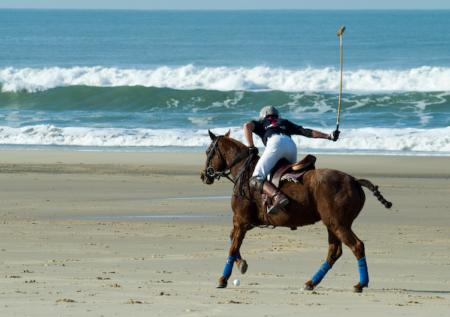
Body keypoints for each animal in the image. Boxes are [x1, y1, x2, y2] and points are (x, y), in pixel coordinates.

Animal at [201, 130, 394, 292]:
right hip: (332, 224)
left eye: (208, 151)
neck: (244, 172)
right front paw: (242, 264)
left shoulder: (240, 220)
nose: (204, 176)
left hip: (338, 223)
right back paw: (311, 283)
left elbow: (232, 247)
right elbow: (232, 241)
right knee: (334, 251)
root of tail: (354, 180)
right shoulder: (245, 222)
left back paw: (360, 283)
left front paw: (223, 279)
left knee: (357, 246)